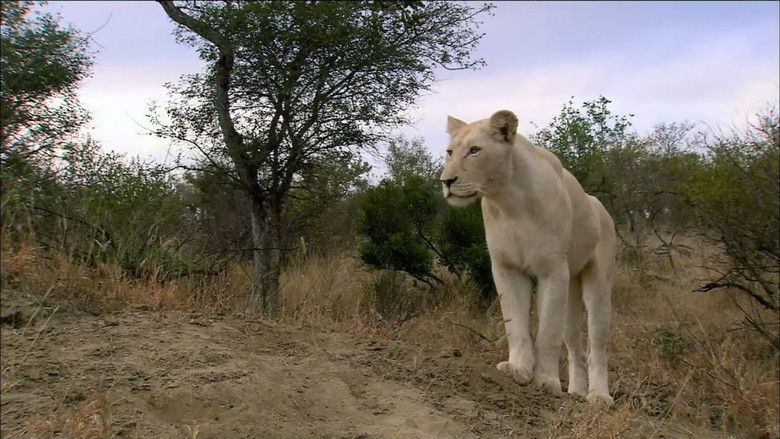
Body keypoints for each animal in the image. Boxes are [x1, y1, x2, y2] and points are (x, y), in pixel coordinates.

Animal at [440, 110, 616, 405]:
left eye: (475, 150)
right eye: (450, 152)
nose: (446, 182)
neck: (509, 202)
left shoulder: (553, 270)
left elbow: (547, 333)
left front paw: (546, 381)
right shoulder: (507, 267)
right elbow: (516, 326)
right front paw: (518, 370)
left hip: (598, 283)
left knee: (597, 346)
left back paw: (598, 396)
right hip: (571, 286)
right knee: (575, 347)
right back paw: (576, 391)